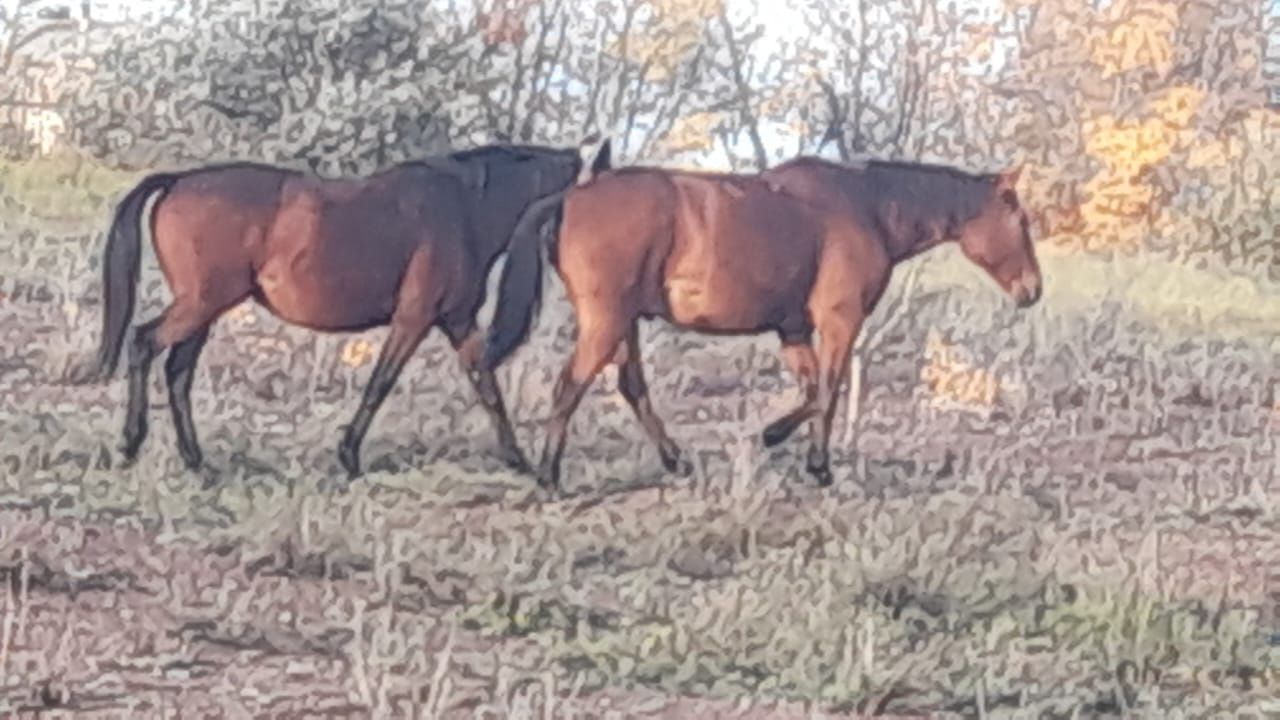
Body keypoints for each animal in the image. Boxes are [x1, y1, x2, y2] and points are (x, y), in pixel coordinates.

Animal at [73, 137, 614, 479]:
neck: (465, 205)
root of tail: (179, 180)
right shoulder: (416, 318)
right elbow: (381, 383)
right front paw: (349, 456)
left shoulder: (456, 321)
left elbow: (486, 384)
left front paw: (517, 459)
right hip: (200, 303)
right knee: (144, 343)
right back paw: (131, 443)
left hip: (204, 310)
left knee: (178, 372)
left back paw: (196, 461)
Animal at [481, 155, 1039, 489]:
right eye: (1020, 220)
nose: (1032, 290)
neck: (867, 207)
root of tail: (572, 196)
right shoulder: (839, 322)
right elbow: (828, 391)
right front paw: (805, 457)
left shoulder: (793, 330)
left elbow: (813, 389)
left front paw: (793, 448)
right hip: (606, 322)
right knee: (570, 386)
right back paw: (549, 474)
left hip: (623, 324)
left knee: (631, 387)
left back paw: (674, 460)